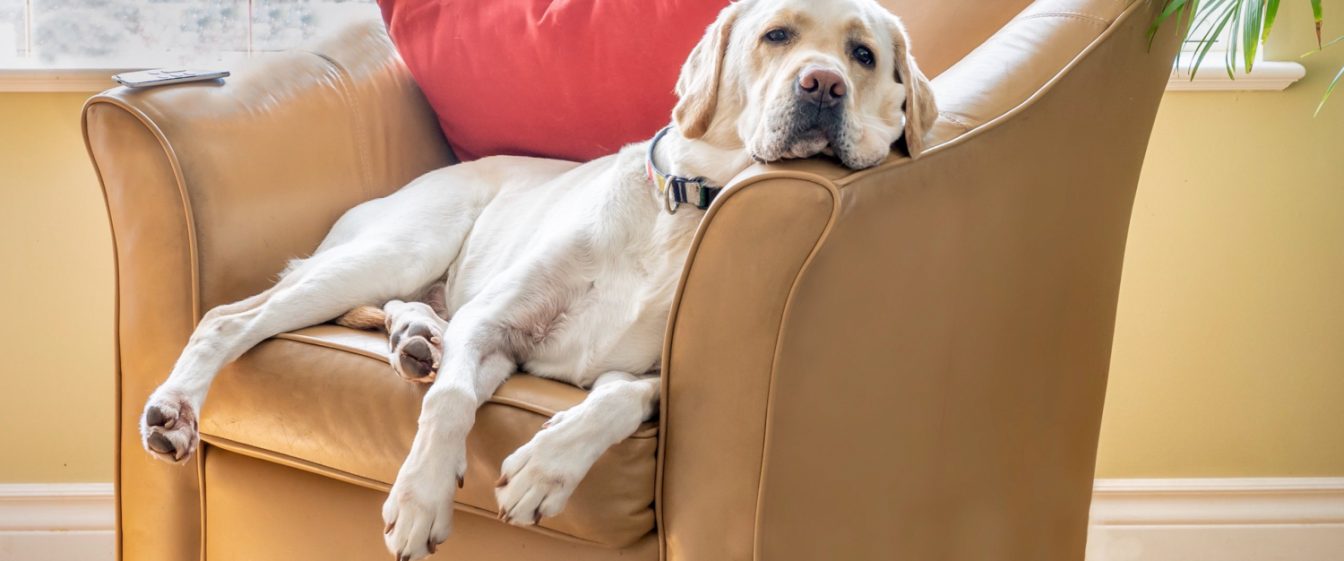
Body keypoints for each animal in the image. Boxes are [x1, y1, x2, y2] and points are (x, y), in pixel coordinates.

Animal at [136, 0, 935, 554]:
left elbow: (617, 402)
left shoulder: (637, 374)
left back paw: (416, 339)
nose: (824, 84)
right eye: (777, 36)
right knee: (233, 318)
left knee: (402, 315)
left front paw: (545, 468)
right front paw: (421, 498)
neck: (686, 210)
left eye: (863, 54)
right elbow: (451, 399)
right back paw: (175, 409)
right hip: (397, 247)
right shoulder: (494, 326)